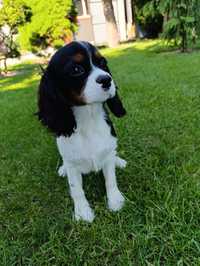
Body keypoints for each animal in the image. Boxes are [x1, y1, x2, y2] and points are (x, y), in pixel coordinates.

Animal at [37, 41, 126, 220]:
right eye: (76, 70)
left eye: (102, 63)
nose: (107, 79)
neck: (89, 118)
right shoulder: (72, 164)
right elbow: (76, 189)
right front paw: (83, 212)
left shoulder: (107, 153)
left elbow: (111, 180)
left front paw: (115, 201)